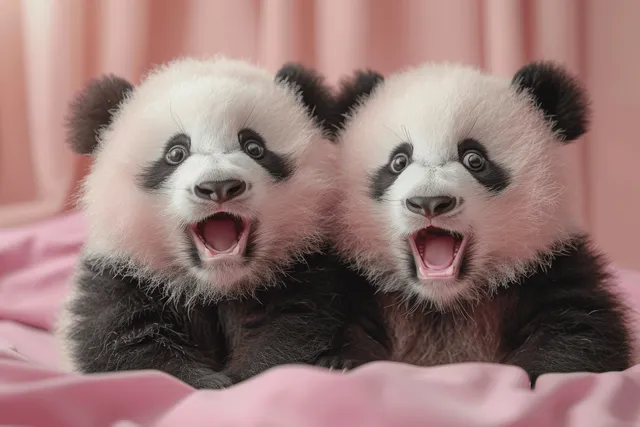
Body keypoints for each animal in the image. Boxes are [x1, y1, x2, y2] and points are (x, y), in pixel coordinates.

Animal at [57, 56, 386, 389]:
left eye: (254, 147)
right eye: (176, 153)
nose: (219, 186)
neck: (217, 285)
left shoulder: (301, 268)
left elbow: (291, 329)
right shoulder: (123, 276)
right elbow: (129, 347)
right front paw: (211, 383)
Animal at [329, 60, 634, 386]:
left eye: (474, 159)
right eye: (398, 162)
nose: (429, 202)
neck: (443, 302)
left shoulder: (551, 266)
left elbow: (580, 333)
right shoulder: (358, 279)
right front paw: (344, 366)